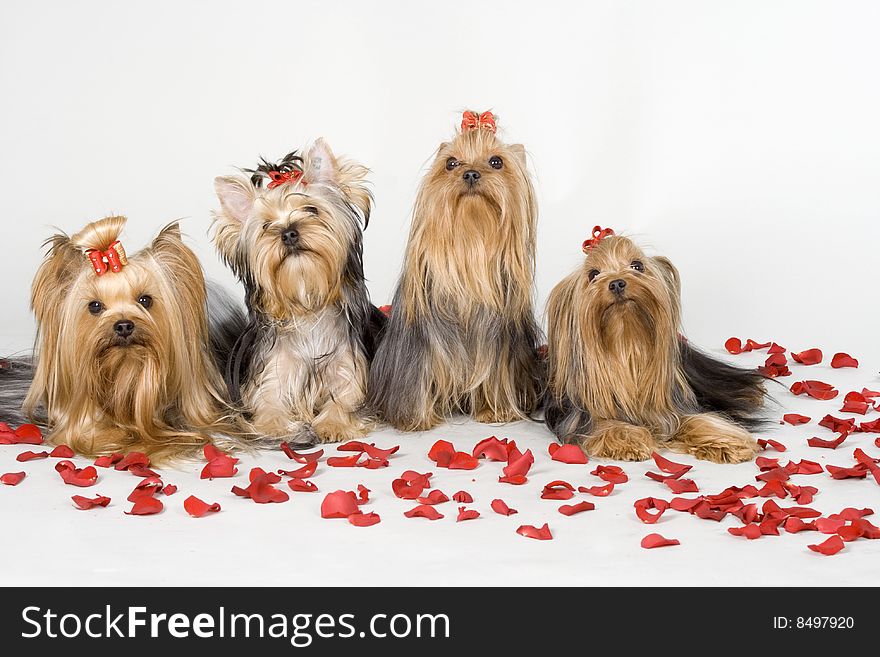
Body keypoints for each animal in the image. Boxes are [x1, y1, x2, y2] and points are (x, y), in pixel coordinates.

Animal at [211, 139, 384, 446]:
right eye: (266, 226)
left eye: (311, 210)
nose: (289, 232)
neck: (307, 302)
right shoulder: (272, 374)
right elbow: (268, 405)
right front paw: (277, 426)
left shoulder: (349, 369)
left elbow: (344, 399)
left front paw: (332, 423)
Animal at [366, 111, 544, 430]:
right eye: (451, 163)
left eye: (496, 161)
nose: (470, 173)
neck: (470, 245)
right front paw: (417, 418)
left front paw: (495, 411)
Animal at [548, 228, 768, 464]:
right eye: (593, 275)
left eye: (637, 266)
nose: (617, 283)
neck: (627, 342)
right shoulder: (582, 419)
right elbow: (604, 425)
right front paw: (627, 440)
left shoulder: (675, 406)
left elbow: (695, 418)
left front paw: (726, 442)